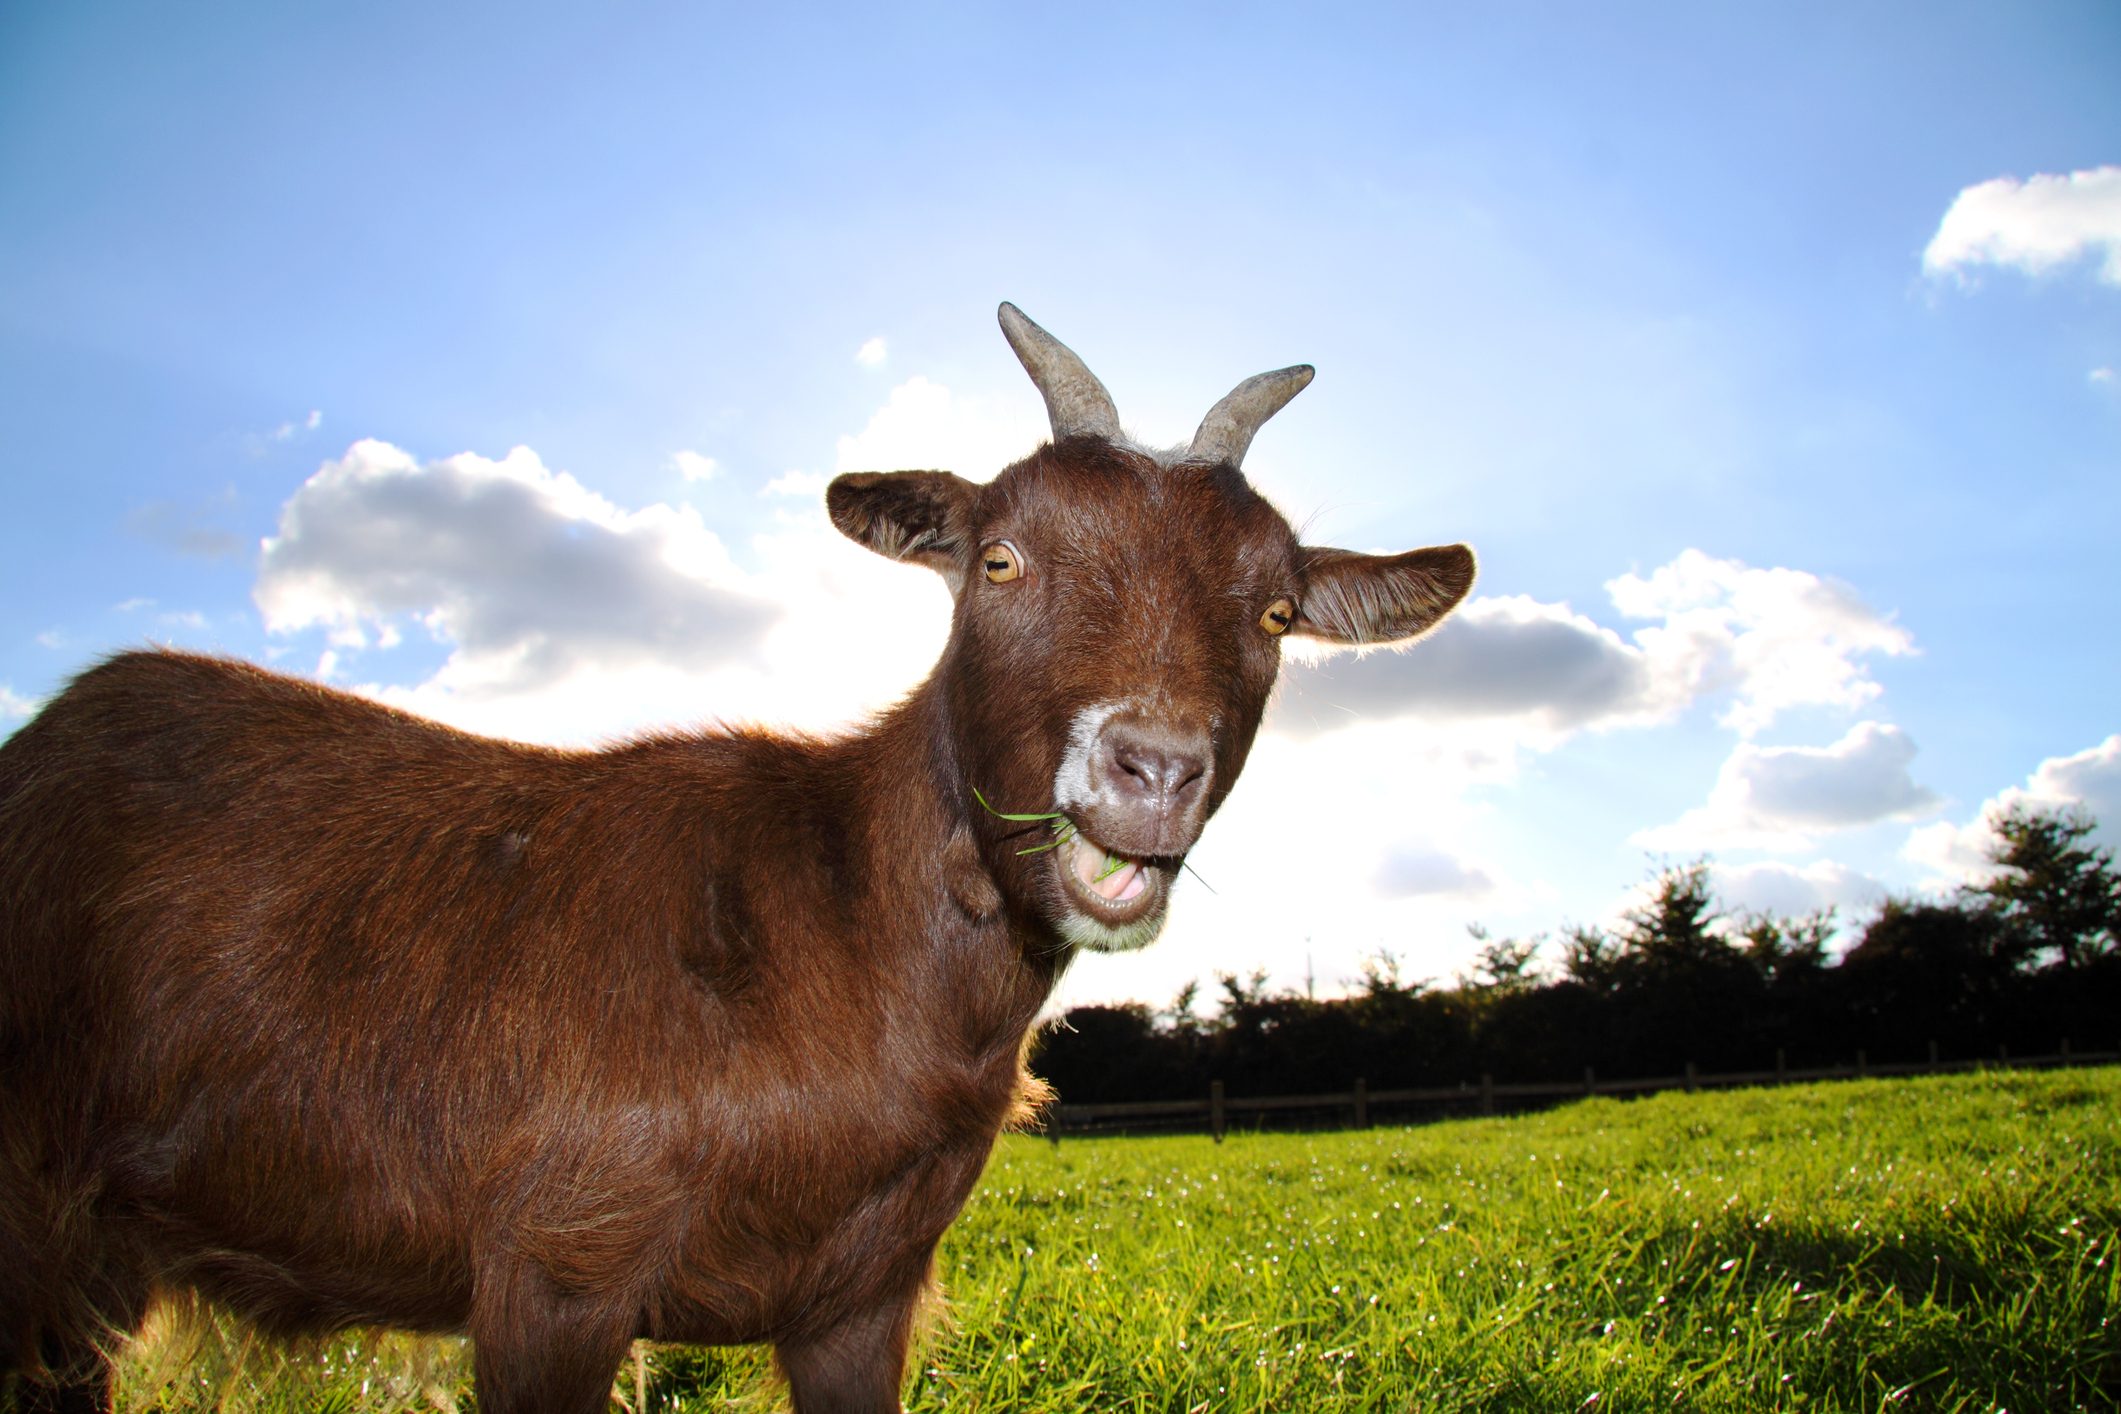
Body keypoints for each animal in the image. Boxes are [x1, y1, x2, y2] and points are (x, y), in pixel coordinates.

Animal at [0, 304, 1474, 1413]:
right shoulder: (553, 1262)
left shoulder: (861, 1298)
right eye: (999, 557)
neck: (836, 937)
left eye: (1275, 609)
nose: (1152, 766)